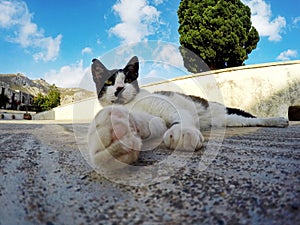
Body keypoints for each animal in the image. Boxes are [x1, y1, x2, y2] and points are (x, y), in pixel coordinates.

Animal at [88, 55, 290, 169]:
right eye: (108, 82)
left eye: (128, 79)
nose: (119, 89)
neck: (131, 104)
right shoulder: (151, 119)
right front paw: (112, 137)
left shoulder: (167, 106)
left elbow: (178, 117)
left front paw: (183, 131)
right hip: (227, 120)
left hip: (231, 114)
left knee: (254, 119)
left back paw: (278, 120)